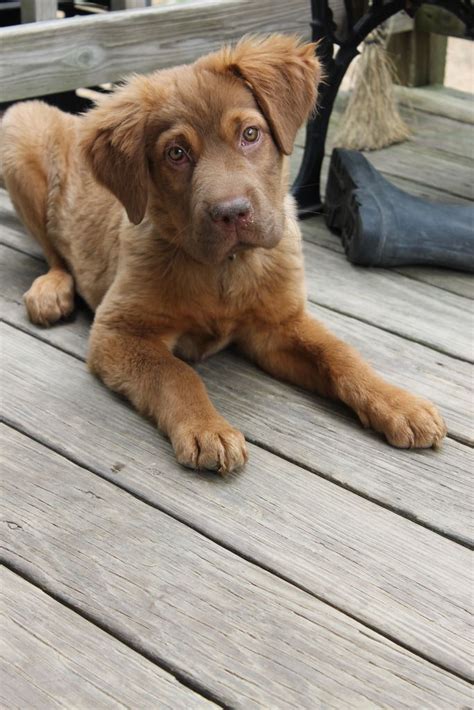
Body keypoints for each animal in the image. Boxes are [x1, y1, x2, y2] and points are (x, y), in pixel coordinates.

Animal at [0, 36, 444, 476]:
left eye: (250, 133)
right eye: (176, 153)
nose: (232, 213)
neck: (226, 268)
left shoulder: (277, 326)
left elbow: (339, 353)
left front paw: (396, 402)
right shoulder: (118, 330)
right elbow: (174, 372)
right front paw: (206, 428)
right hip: (18, 133)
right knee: (56, 254)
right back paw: (51, 291)